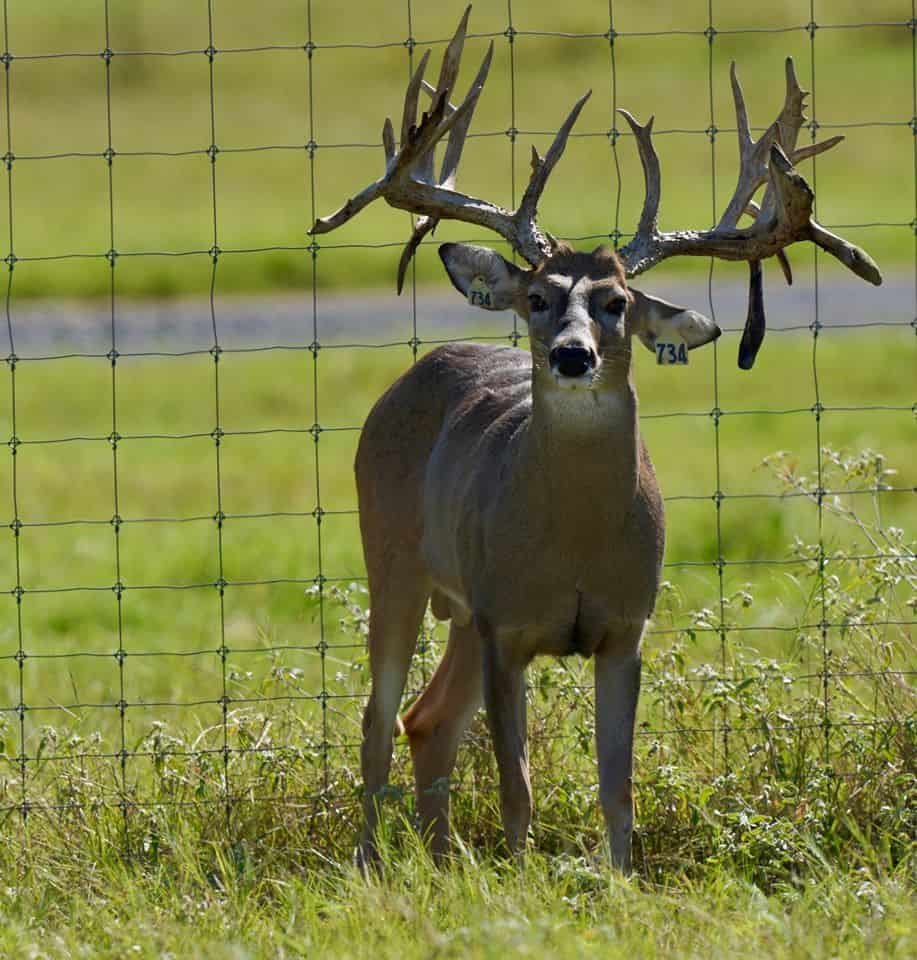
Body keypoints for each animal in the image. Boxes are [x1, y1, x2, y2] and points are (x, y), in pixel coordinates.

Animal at [310, 7, 882, 871]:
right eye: (537, 298)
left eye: (616, 302)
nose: (572, 355)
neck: (573, 544)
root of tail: (417, 370)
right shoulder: (505, 625)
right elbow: (516, 785)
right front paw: (518, 878)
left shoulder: (623, 627)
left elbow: (618, 787)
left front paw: (617, 881)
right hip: (395, 560)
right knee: (379, 718)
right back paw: (373, 864)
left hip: (458, 609)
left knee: (427, 719)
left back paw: (440, 862)